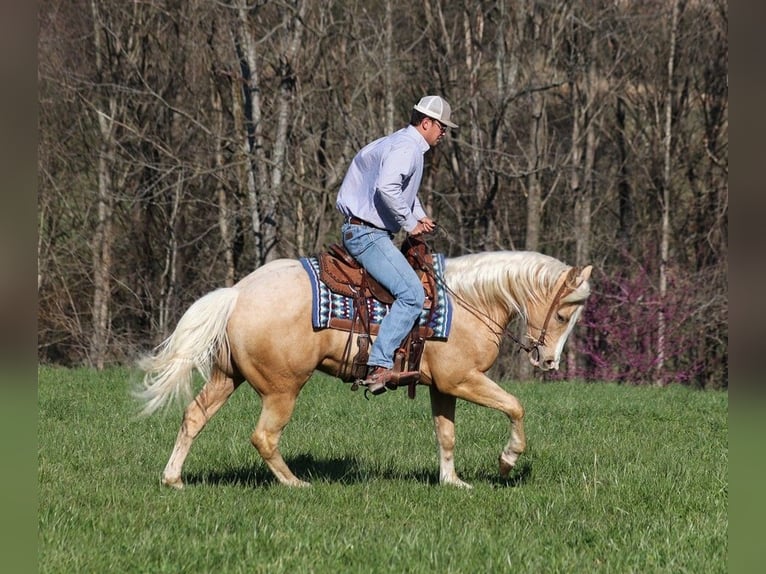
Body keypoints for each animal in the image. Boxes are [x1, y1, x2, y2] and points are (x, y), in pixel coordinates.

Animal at [136, 252, 592, 490]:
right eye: (563, 313)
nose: (548, 361)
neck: (468, 302)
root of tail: (237, 293)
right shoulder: (463, 380)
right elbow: (515, 407)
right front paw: (507, 462)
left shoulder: (443, 387)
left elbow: (446, 434)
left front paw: (452, 482)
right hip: (283, 389)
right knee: (263, 436)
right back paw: (296, 484)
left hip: (227, 376)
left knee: (193, 417)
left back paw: (173, 479)